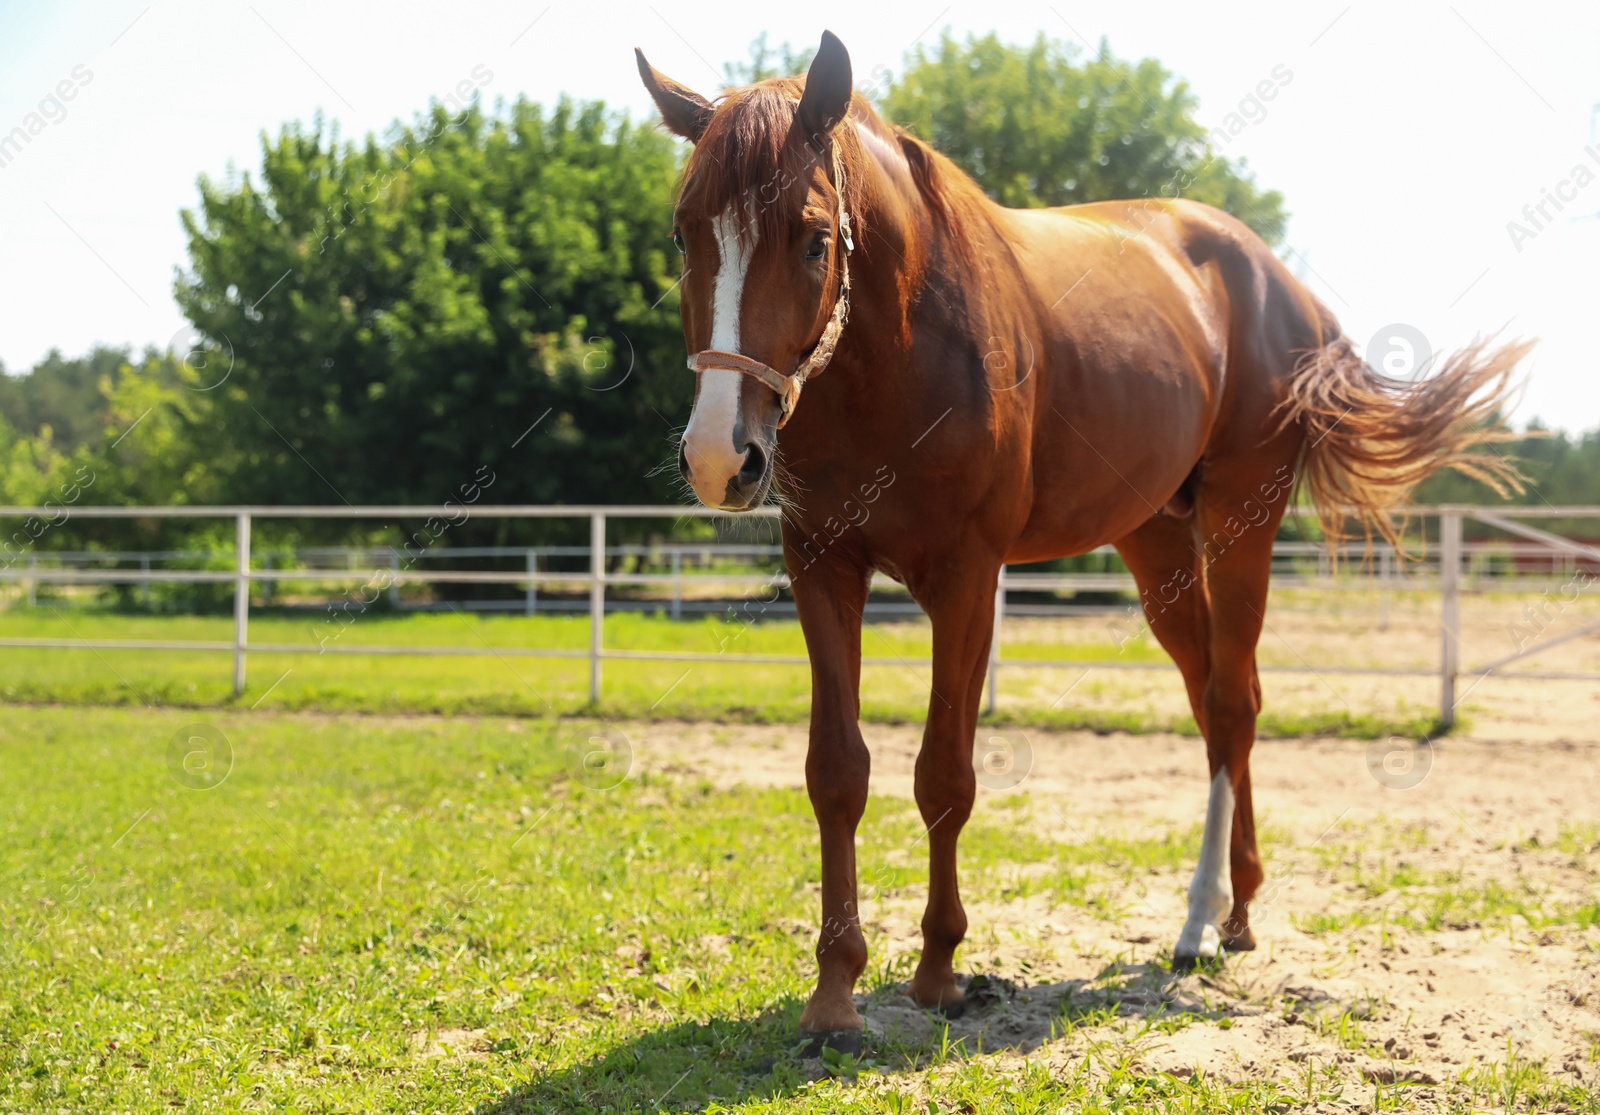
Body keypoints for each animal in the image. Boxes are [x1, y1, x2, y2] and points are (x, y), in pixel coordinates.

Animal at [636, 34, 1523, 1043]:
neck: (902, 347)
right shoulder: (822, 566)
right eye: (684, 234)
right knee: (1215, 702)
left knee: (1234, 704)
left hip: (1239, 526)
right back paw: (1238, 906)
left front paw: (938, 970)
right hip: (1156, 547)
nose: (720, 457)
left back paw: (1198, 924)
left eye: (815, 236)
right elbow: (837, 771)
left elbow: (944, 774)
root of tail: (1280, 283)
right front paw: (834, 992)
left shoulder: (967, 579)